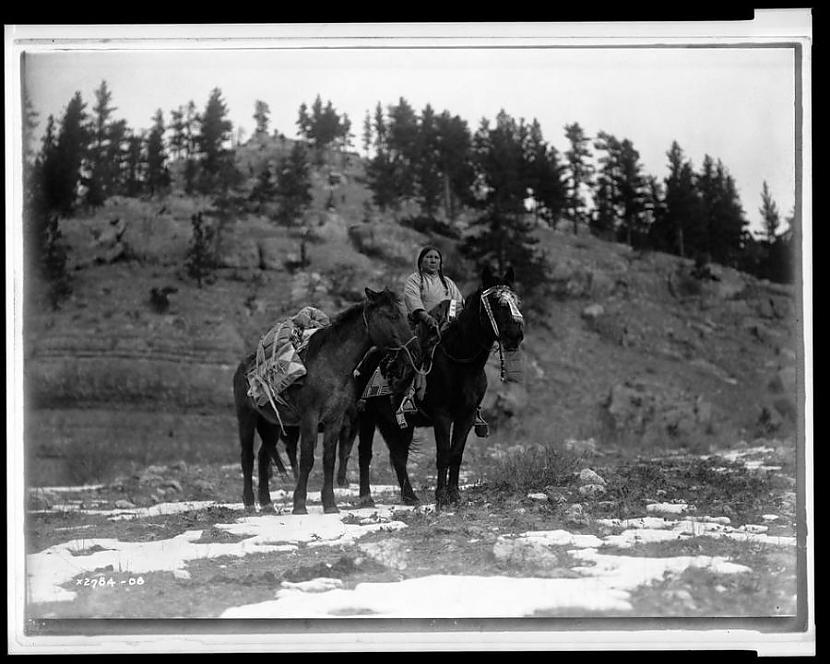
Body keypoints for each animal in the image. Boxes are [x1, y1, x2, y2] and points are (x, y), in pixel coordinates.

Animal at [232, 290, 416, 512]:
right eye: (391, 315)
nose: (414, 349)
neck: (330, 365)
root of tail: (243, 366)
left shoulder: (335, 419)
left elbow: (329, 458)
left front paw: (329, 503)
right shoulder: (310, 417)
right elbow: (307, 458)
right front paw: (299, 504)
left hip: (272, 423)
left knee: (263, 456)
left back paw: (267, 503)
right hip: (247, 417)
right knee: (247, 457)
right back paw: (250, 502)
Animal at [344, 268, 528, 506]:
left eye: (517, 301)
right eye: (498, 303)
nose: (516, 334)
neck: (460, 362)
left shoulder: (466, 416)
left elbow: (456, 454)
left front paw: (455, 495)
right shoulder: (442, 415)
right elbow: (443, 454)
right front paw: (441, 496)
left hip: (398, 422)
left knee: (399, 456)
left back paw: (410, 496)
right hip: (367, 416)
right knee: (365, 454)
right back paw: (367, 497)